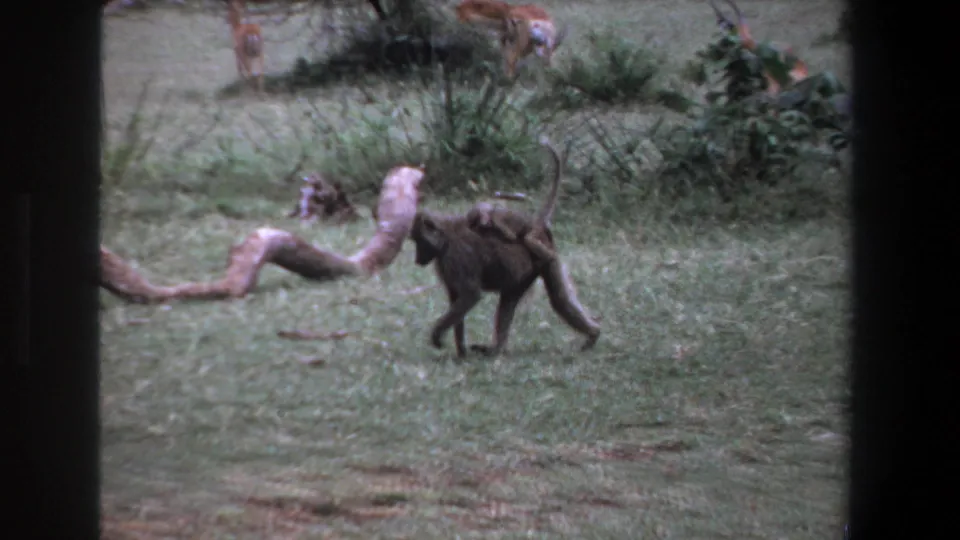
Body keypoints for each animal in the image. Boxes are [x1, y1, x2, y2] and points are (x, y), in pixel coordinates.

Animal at [409, 140, 600, 358]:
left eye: (419, 242)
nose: (417, 259)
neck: (446, 237)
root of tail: (537, 225)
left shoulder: (455, 257)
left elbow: (470, 295)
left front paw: (438, 336)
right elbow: (457, 299)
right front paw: (461, 352)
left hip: (543, 253)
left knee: (558, 298)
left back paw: (593, 334)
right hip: (527, 270)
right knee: (513, 300)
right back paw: (496, 349)